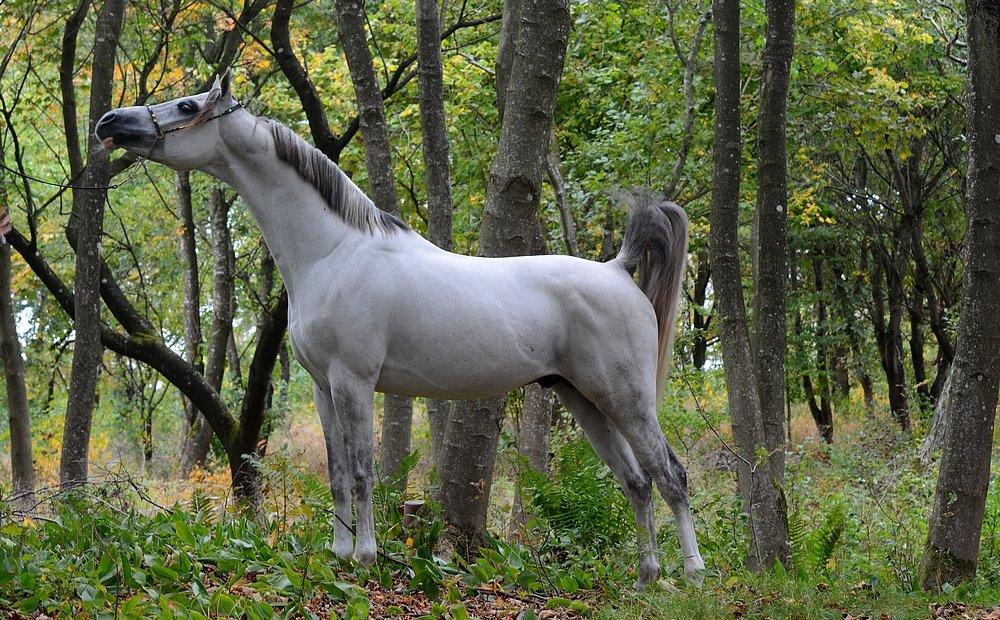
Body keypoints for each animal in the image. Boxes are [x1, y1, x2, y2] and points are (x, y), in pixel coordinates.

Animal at [94, 71, 704, 588]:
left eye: (187, 105)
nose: (109, 122)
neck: (333, 252)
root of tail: (618, 269)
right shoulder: (323, 387)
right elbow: (339, 472)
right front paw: (339, 556)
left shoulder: (354, 380)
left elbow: (364, 470)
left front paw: (365, 559)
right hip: (584, 400)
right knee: (637, 481)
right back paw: (646, 576)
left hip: (625, 398)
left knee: (670, 475)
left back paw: (692, 575)